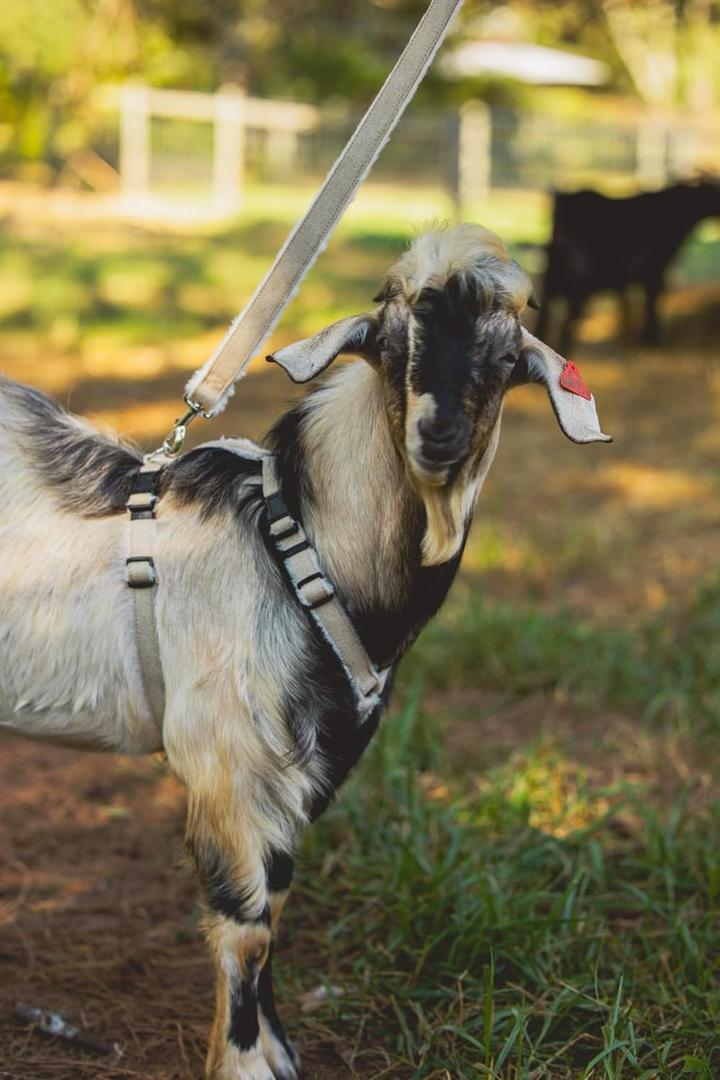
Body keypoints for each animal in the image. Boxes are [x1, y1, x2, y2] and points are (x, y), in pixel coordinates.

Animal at [0, 223, 610, 1080]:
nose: (439, 437)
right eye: (389, 340)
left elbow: (279, 899)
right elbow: (247, 924)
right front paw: (245, 1063)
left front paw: (278, 1052)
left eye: (504, 353)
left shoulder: (309, 762)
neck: (303, 542)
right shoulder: (227, 761)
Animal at [537, 179, 720, 352]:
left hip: (553, 279)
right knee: (566, 320)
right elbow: (652, 302)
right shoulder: (654, 270)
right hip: (578, 281)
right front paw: (652, 339)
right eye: (714, 190)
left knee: (545, 315)